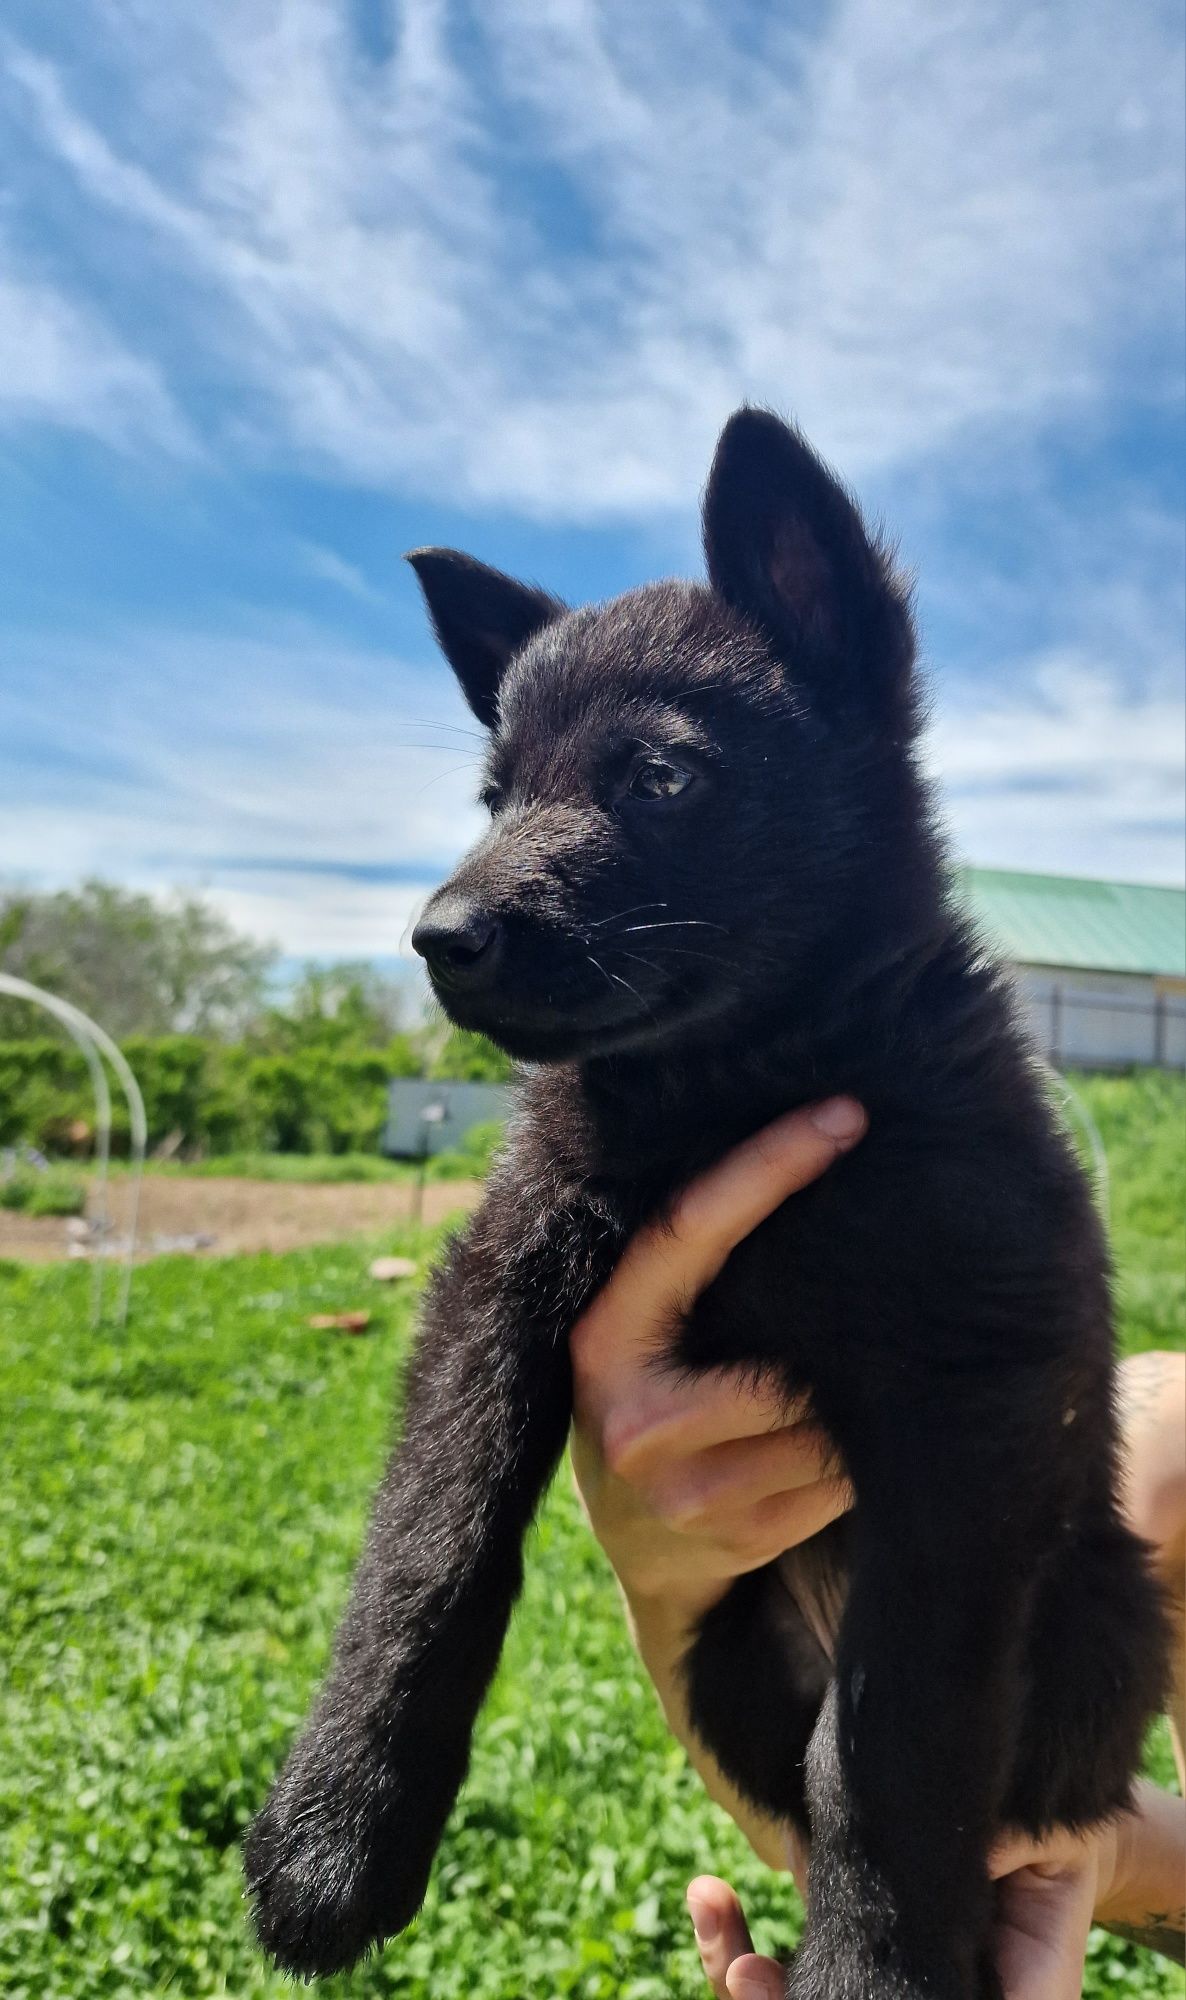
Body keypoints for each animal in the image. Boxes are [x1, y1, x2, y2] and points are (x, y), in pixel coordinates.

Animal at [243, 414, 1168, 1992]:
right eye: (494, 797)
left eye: (660, 778)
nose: (436, 939)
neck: (728, 1082)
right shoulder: (504, 1276)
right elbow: (428, 1550)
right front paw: (331, 1837)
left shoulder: (971, 1399)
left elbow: (889, 1735)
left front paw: (874, 1971)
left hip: (1098, 1626)